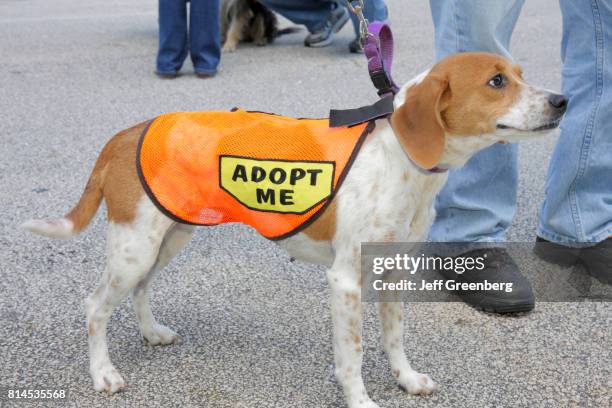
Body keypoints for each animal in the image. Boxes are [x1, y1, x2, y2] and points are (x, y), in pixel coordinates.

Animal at [22, 51, 568, 408]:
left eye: (520, 75)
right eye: (496, 82)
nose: (562, 100)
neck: (400, 159)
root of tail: (127, 133)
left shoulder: (393, 272)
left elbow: (394, 338)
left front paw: (407, 379)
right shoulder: (345, 281)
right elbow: (352, 355)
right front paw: (361, 400)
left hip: (167, 238)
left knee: (140, 290)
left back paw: (151, 332)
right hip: (135, 245)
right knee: (95, 306)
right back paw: (103, 373)